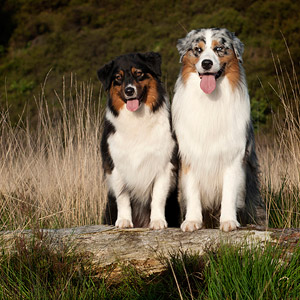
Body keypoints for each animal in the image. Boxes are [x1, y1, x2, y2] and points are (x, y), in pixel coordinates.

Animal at [97, 52, 179, 230]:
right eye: (118, 78)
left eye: (139, 73)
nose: (129, 91)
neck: (137, 119)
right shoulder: (116, 166)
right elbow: (123, 197)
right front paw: (124, 221)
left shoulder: (164, 165)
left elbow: (158, 197)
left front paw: (157, 221)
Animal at [172, 28, 266, 233]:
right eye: (198, 50)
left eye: (219, 49)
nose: (206, 63)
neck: (210, 99)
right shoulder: (189, 156)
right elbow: (192, 191)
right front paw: (192, 221)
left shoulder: (233, 156)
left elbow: (229, 193)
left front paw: (228, 221)